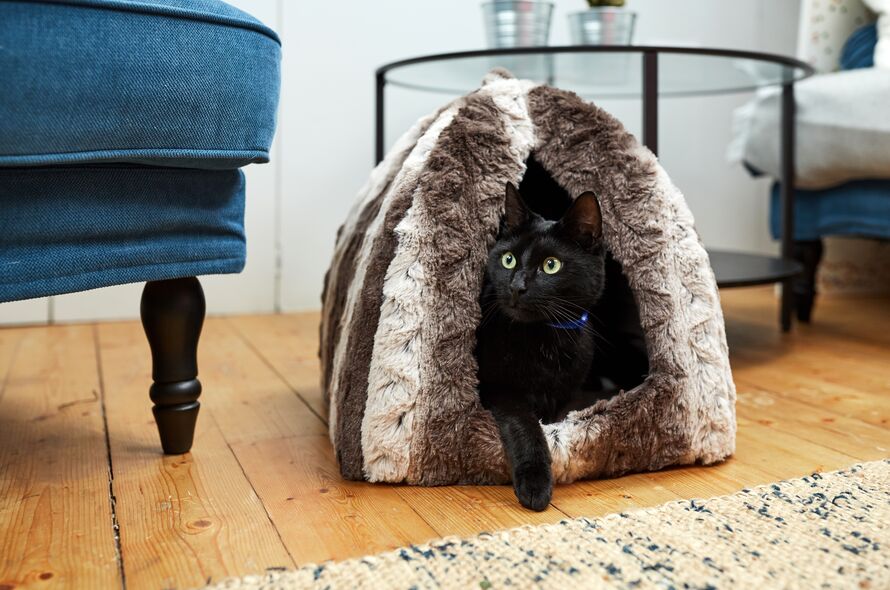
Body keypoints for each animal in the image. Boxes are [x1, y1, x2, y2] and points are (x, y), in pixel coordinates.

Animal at [476, 182, 640, 512]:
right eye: (508, 259)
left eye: (551, 266)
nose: (517, 286)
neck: (546, 341)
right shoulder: (500, 389)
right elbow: (526, 426)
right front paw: (536, 484)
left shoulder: (564, 393)